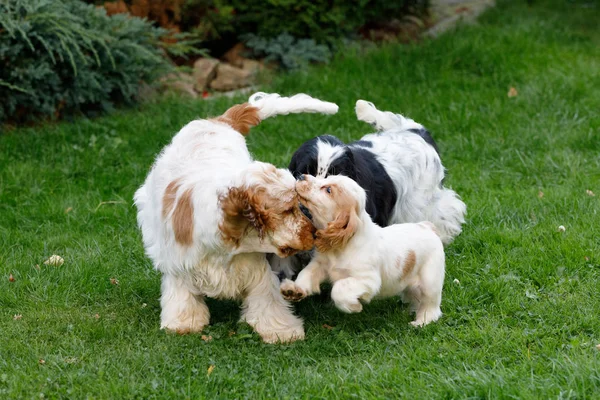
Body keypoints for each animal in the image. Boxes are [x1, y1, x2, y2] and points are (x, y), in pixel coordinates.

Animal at [135, 92, 338, 342]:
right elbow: (181, 295)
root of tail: (218, 120)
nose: (314, 233)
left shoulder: (256, 268)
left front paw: (282, 331)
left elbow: (267, 300)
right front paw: (183, 324)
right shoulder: (179, 262)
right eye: (287, 210)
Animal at [282, 173, 446, 326]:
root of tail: (427, 227)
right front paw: (294, 290)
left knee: (431, 306)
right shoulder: (320, 265)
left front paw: (354, 307)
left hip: (430, 282)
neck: (340, 248)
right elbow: (306, 274)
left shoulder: (367, 279)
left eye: (328, 190)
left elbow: (339, 289)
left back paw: (420, 322)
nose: (301, 176)